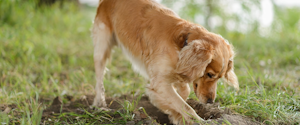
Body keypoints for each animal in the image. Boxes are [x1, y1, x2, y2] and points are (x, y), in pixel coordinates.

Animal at [91, 0, 239, 123]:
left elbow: (183, 95)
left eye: (219, 78)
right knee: (99, 80)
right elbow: (186, 106)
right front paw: (197, 121)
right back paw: (99, 104)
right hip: (101, 48)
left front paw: (176, 117)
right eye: (209, 74)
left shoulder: (177, 74)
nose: (210, 102)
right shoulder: (160, 83)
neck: (181, 45)